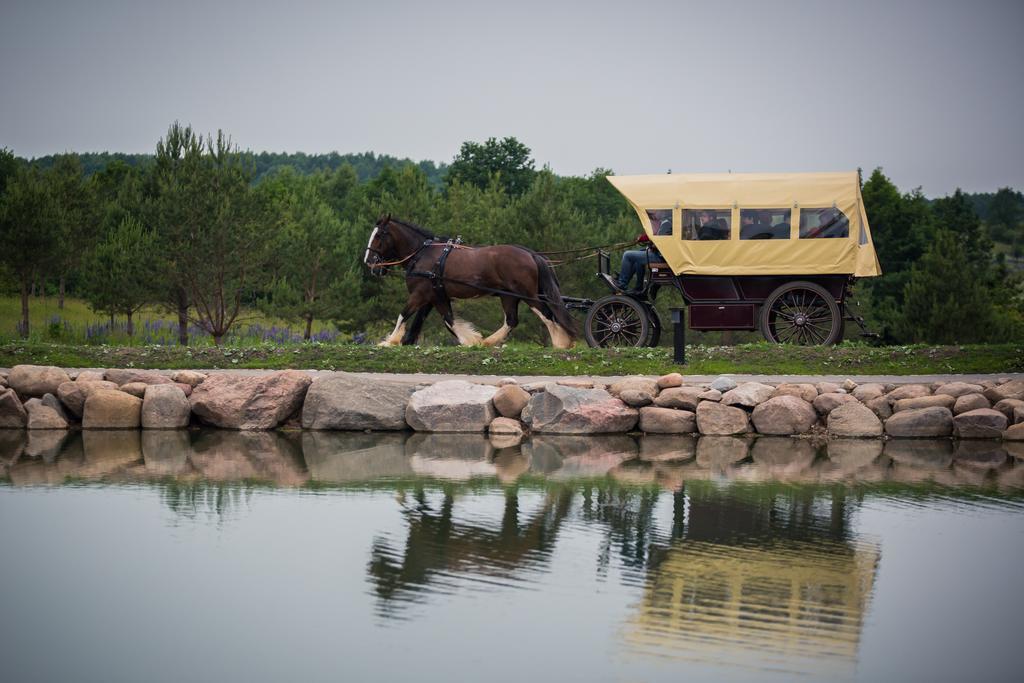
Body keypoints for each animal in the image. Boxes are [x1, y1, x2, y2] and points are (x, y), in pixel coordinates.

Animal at [366, 215, 577, 348]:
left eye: (379, 235)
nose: (369, 263)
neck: (422, 254)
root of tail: (531, 254)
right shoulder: (436, 297)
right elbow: (446, 320)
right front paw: (471, 340)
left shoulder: (420, 295)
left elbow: (403, 314)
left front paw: (390, 341)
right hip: (509, 296)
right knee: (511, 320)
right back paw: (488, 342)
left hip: (527, 294)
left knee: (547, 315)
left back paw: (560, 343)